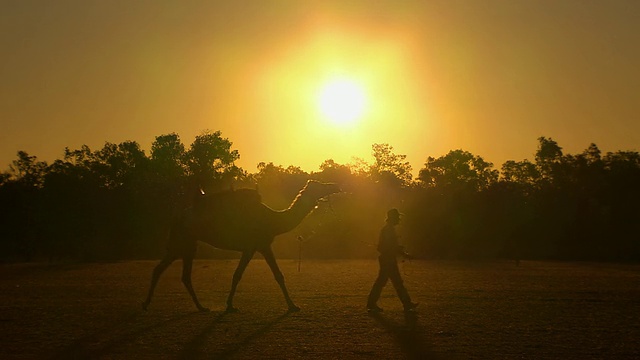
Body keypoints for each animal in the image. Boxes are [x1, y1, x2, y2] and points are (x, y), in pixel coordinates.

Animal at [143, 180, 342, 312]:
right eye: (320, 185)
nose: (336, 186)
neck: (273, 220)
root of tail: (177, 218)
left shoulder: (260, 245)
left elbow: (272, 275)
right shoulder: (255, 245)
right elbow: (243, 275)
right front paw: (292, 306)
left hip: (187, 243)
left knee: (173, 272)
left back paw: (196, 307)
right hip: (183, 241)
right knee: (171, 271)